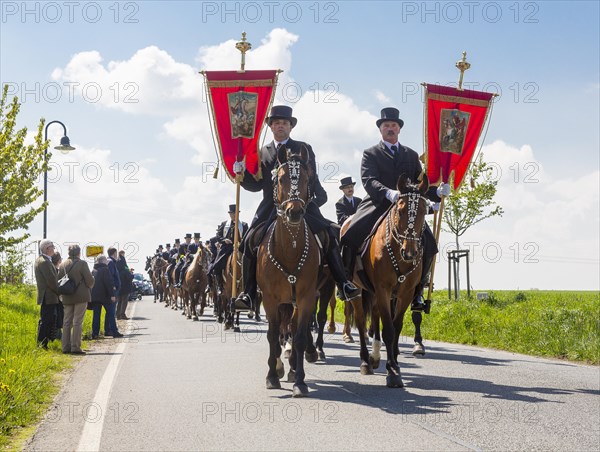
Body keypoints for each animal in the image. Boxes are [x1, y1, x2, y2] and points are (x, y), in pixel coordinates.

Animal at [258, 147, 324, 398]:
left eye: (307, 179)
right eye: (280, 179)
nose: (293, 212)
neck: (290, 248)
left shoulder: (306, 298)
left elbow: (299, 336)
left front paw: (300, 382)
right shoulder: (269, 299)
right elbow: (272, 335)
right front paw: (271, 376)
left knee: (294, 331)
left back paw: (294, 368)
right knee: (279, 333)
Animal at [340, 175, 428, 386]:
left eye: (423, 210)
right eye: (400, 209)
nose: (410, 253)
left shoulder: (405, 293)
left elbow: (396, 328)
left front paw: (394, 361)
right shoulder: (383, 289)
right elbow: (388, 329)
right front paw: (393, 371)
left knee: (375, 317)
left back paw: (375, 356)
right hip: (358, 289)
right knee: (361, 322)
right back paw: (365, 361)